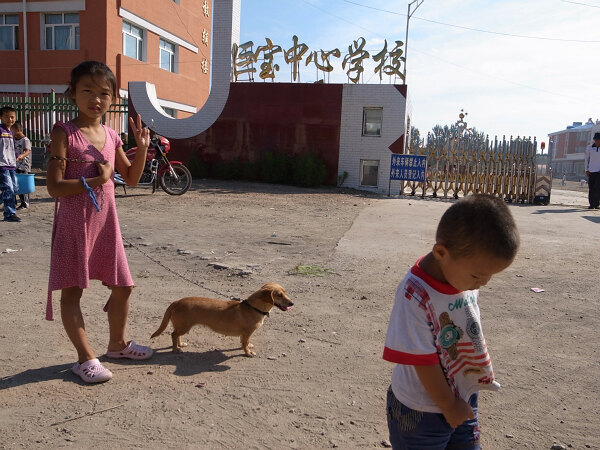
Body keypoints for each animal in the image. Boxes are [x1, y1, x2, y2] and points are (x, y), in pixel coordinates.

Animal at [151, 284, 294, 356]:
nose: (292, 303)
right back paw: (175, 349)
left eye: (285, 292)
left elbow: (245, 342)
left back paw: (180, 345)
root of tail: (177, 301)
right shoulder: (247, 332)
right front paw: (248, 352)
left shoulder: (245, 334)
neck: (253, 307)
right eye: (279, 295)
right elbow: (244, 344)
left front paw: (248, 346)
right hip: (184, 326)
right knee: (173, 335)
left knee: (176, 335)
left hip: (182, 326)